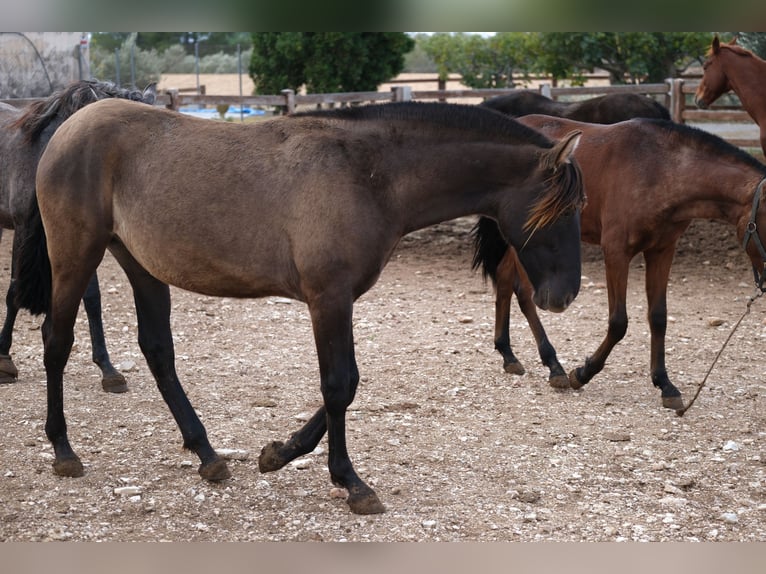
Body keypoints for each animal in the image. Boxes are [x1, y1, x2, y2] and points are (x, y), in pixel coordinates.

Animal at [15, 99, 585, 515]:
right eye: (563, 209)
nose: (565, 295)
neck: (367, 173)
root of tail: (67, 129)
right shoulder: (327, 298)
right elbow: (340, 385)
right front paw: (351, 482)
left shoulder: (335, 299)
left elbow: (342, 387)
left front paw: (278, 453)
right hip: (76, 256)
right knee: (56, 343)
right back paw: (64, 450)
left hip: (140, 265)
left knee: (157, 352)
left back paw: (207, 454)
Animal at [472, 114, 766, 411]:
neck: (660, 169)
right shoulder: (615, 252)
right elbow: (618, 322)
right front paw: (583, 372)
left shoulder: (662, 251)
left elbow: (658, 317)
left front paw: (665, 384)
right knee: (523, 292)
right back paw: (554, 366)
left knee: (505, 279)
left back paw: (508, 354)